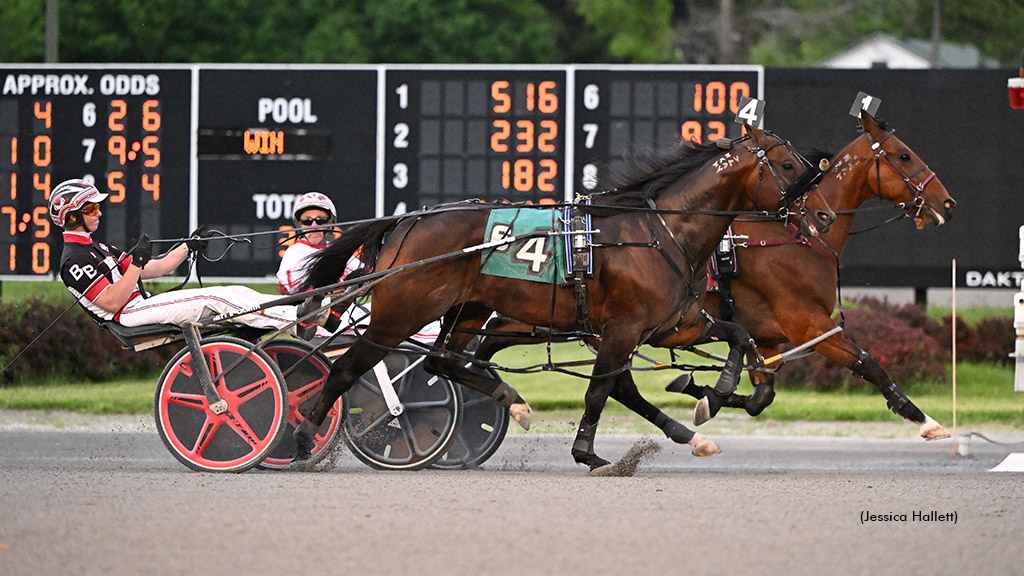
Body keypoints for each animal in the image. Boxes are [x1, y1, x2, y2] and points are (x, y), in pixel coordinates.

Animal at [294, 125, 831, 471]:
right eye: (787, 164)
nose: (824, 216)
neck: (659, 231)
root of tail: (409, 221)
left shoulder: (670, 325)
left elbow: (737, 336)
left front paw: (710, 400)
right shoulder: (621, 330)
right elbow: (601, 390)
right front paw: (588, 453)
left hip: (468, 308)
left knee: (442, 361)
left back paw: (511, 398)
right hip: (402, 312)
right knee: (348, 369)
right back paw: (301, 437)